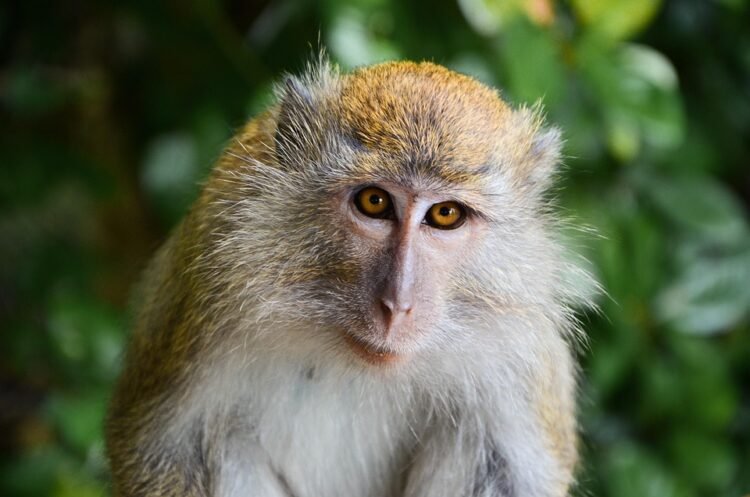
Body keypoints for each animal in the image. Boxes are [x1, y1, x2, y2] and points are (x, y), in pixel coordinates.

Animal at [106, 59, 590, 497]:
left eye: (445, 214)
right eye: (374, 202)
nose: (397, 305)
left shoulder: (521, 353)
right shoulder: (212, 282)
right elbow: (165, 450)